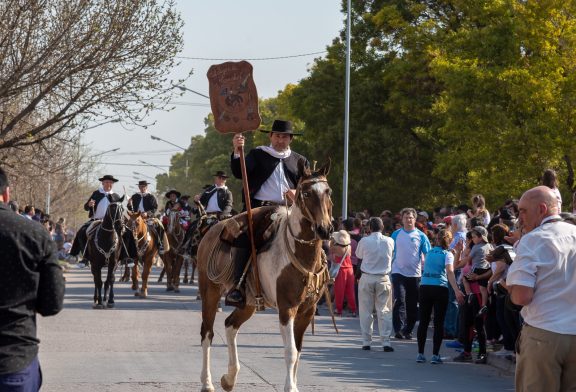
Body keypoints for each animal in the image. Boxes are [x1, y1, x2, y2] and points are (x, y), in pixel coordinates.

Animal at [198, 160, 332, 392]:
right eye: (306, 193)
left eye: (328, 191)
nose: (325, 229)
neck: (299, 253)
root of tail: (211, 231)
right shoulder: (287, 308)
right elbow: (290, 351)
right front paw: (290, 387)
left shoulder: (307, 311)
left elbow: (298, 351)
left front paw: (293, 384)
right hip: (210, 292)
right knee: (207, 333)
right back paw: (207, 382)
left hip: (248, 302)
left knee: (230, 325)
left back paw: (229, 378)